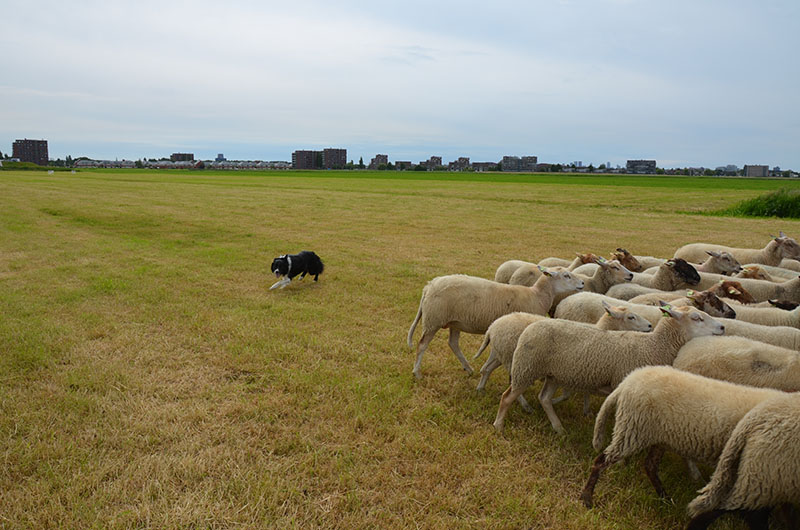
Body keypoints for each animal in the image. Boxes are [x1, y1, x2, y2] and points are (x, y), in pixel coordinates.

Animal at [410, 268, 584, 376]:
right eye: (566, 275)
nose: (582, 283)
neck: (538, 295)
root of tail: (429, 286)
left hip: (454, 322)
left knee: (453, 344)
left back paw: (468, 368)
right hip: (433, 320)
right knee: (422, 345)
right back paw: (417, 373)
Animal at [476, 306, 648, 412]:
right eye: (631, 317)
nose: (650, 326)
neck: (600, 329)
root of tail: (493, 326)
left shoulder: (587, 369)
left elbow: (583, 393)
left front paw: (586, 410)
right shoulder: (569, 370)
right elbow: (567, 395)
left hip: (501, 355)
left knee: (487, 369)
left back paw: (481, 389)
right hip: (518, 362)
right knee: (513, 385)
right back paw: (525, 406)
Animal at [580, 364, 784, 508]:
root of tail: (628, 381)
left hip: (657, 437)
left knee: (650, 466)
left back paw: (665, 498)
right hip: (632, 430)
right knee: (601, 461)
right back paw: (587, 498)